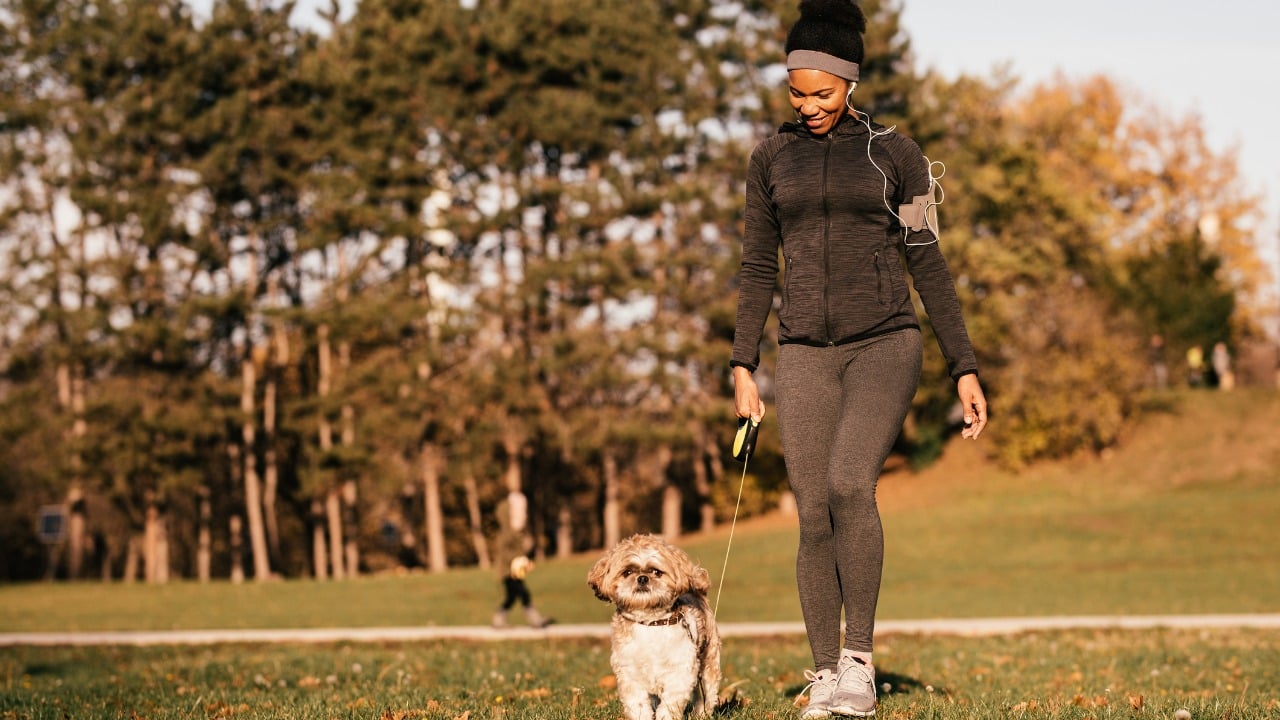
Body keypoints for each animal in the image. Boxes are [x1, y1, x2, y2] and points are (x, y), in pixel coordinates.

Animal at [586, 532, 721, 717]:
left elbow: (671, 703)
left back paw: (702, 714)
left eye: (656, 572)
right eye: (627, 572)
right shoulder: (629, 674)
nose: (642, 578)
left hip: (708, 661)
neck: (650, 623)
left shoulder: (680, 671)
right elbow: (638, 705)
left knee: (707, 693)